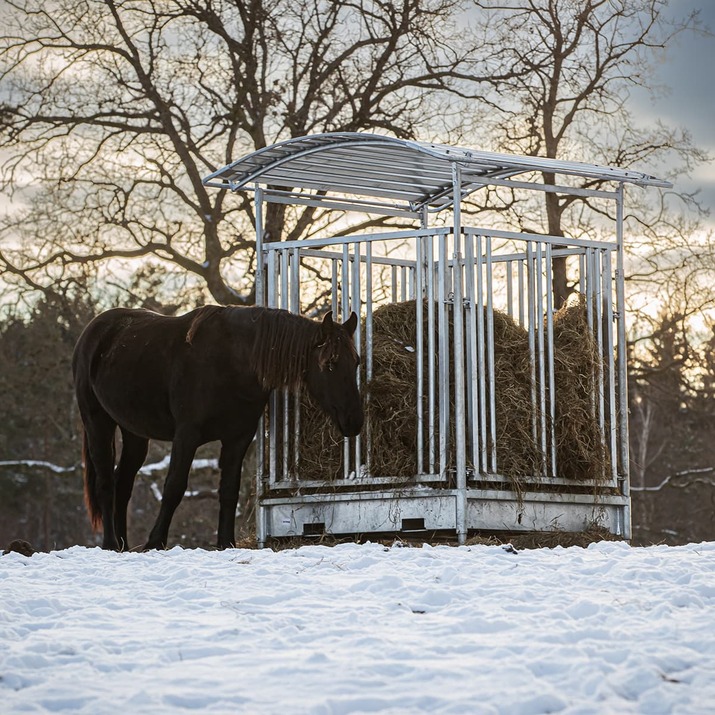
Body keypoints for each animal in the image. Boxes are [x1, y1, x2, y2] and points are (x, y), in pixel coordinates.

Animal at [72, 304, 364, 552]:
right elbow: (174, 486)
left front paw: (226, 542)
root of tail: (93, 331)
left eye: (357, 362)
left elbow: (229, 490)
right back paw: (111, 544)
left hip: (134, 433)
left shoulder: (238, 438)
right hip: (98, 422)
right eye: (329, 363)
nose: (355, 420)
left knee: (123, 484)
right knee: (106, 483)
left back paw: (123, 544)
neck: (232, 360)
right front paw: (155, 542)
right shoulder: (187, 435)